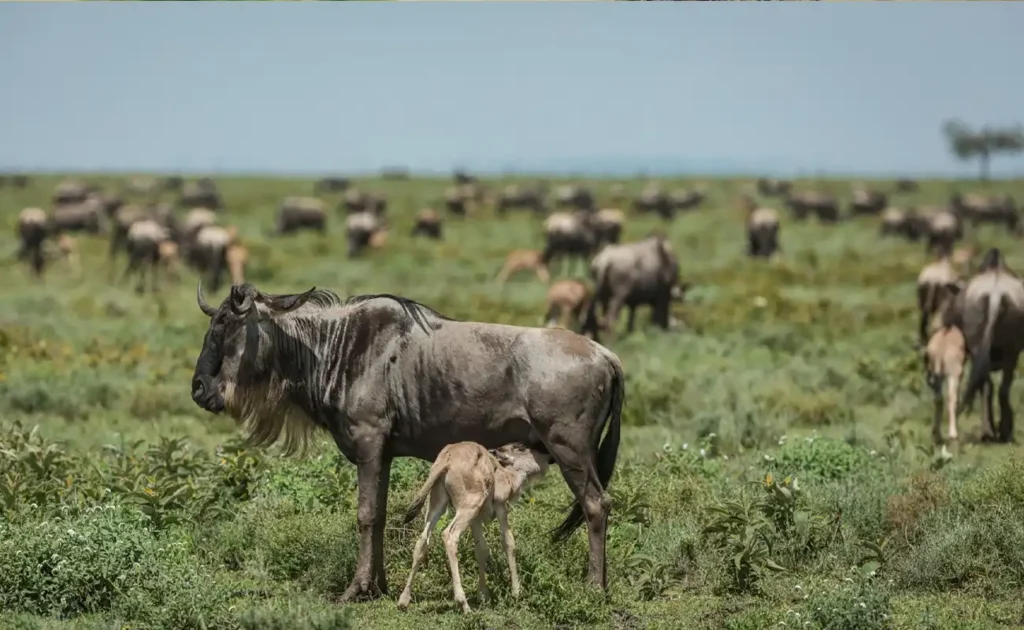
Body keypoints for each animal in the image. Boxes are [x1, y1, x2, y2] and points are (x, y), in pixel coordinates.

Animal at [395, 440, 552, 614]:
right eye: (521, 448)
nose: (547, 457)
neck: (505, 475)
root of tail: (447, 458)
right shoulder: (501, 507)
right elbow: (509, 543)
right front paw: (516, 593)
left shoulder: (475, 519)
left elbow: (481, 549)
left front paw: (483, 595)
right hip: (469, 505)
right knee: (449, 535)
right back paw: (463, 604)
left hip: (437, 504)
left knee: (423, 540)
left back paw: (403, 601)